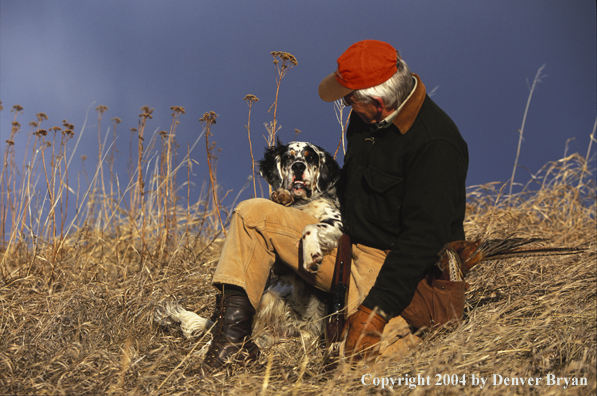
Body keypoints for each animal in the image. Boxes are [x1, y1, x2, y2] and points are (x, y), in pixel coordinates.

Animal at [154, 141, 342, 348]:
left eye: (311, 157)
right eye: (288, 157)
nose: (298, 167)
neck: (303, 204)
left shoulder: (337, 222)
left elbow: (309, 226)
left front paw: (311, 255)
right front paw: (282, 196)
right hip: (267, 298)